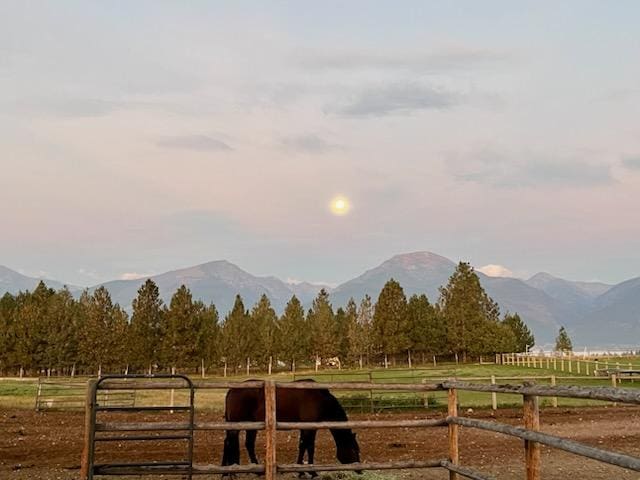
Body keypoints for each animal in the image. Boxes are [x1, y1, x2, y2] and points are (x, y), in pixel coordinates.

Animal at [221, 378, 360, 476]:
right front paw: (311, 472)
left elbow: (303, 446)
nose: (359, 470)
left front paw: (302, 471)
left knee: (245, 444)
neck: (319, 398)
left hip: (251, 426)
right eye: (354, 450)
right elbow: (309, 447)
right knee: (230, 443)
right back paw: (230, 471)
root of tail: (231, 391)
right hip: (237, 425)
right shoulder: (310, 428)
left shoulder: (305, 428)